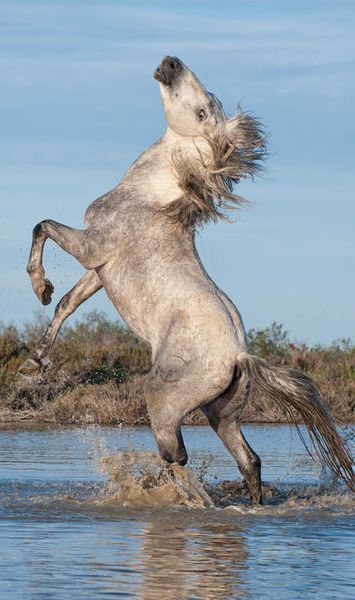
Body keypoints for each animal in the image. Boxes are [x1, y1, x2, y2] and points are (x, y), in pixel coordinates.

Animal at [23, 58, 354, 504]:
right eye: (208, 102)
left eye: (202, 111)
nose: (171, 63)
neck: (152, 195)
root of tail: (239, 355)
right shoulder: (100, 270)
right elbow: (66, 304)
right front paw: (38, 358)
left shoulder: (91, 247)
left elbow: (42, 226)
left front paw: (39, 286)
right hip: (222, 413)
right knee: (248, 460)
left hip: (163, 399)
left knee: (176, 454)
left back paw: (160, 487)